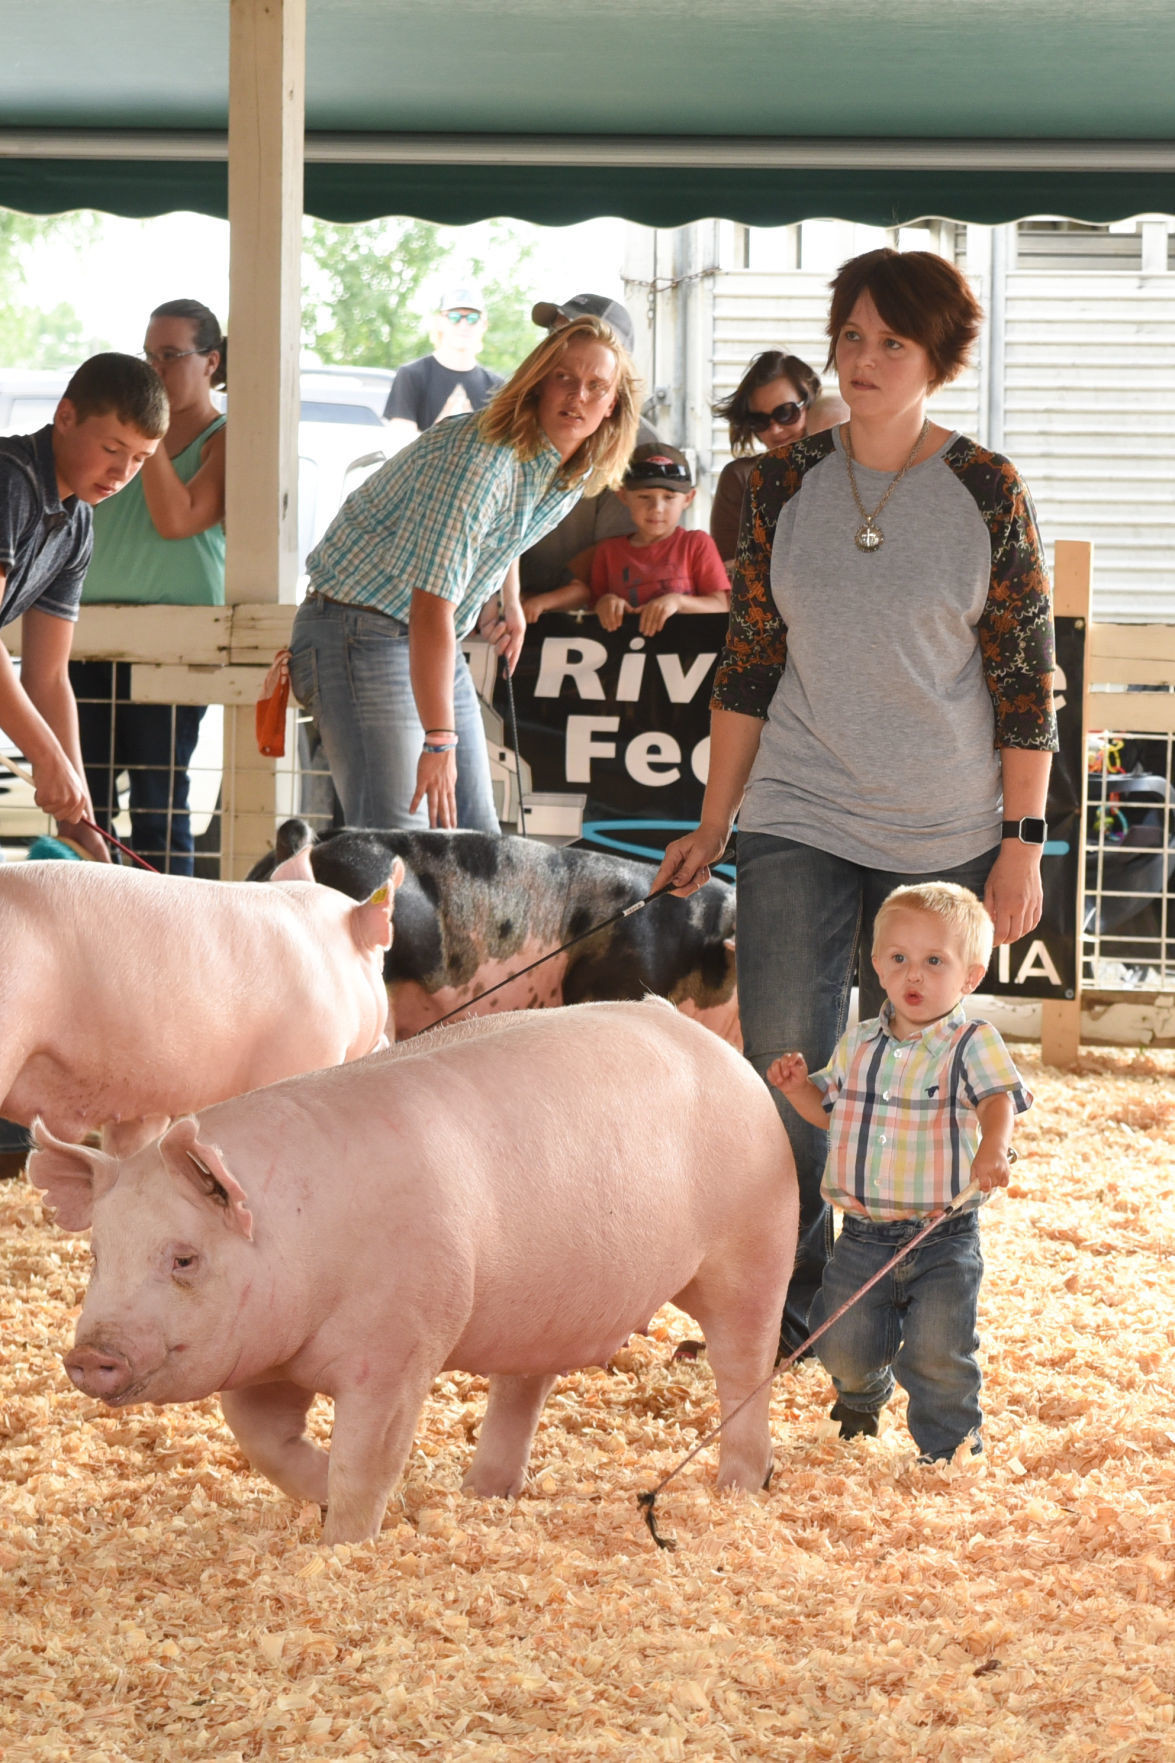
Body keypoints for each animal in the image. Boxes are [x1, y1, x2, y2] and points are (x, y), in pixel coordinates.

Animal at [29, 1008, 797, 1544]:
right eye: (97, 1252)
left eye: (183, 1257)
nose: (89, 1354)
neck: (306, 1236)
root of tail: (729, 1057)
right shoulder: (260, 1359)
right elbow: (264, 1440)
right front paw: (325, 1495)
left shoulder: (401, 1345)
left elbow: (368, 1454)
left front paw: (347, 1539)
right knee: (525, 1385)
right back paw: (481, 1492)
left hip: (755, 1247)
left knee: (745, 1363)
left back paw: (738, 1486)